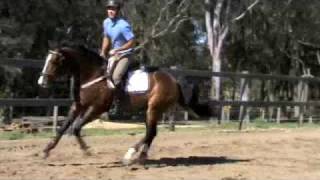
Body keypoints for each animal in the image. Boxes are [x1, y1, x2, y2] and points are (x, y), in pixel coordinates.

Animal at [37, 45, 192, 165]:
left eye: (54, 61)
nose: (41, 82)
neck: (92, 75)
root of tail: (173, 80)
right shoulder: (78, 106)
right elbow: (63, 128)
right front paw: (46, 150)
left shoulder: (97, 109)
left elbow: (75, 127)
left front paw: (87, 150)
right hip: (150, 110)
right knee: (151, 132)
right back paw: (141, 156)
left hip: (154, 108)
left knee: (150, 132)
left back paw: (130, 155)